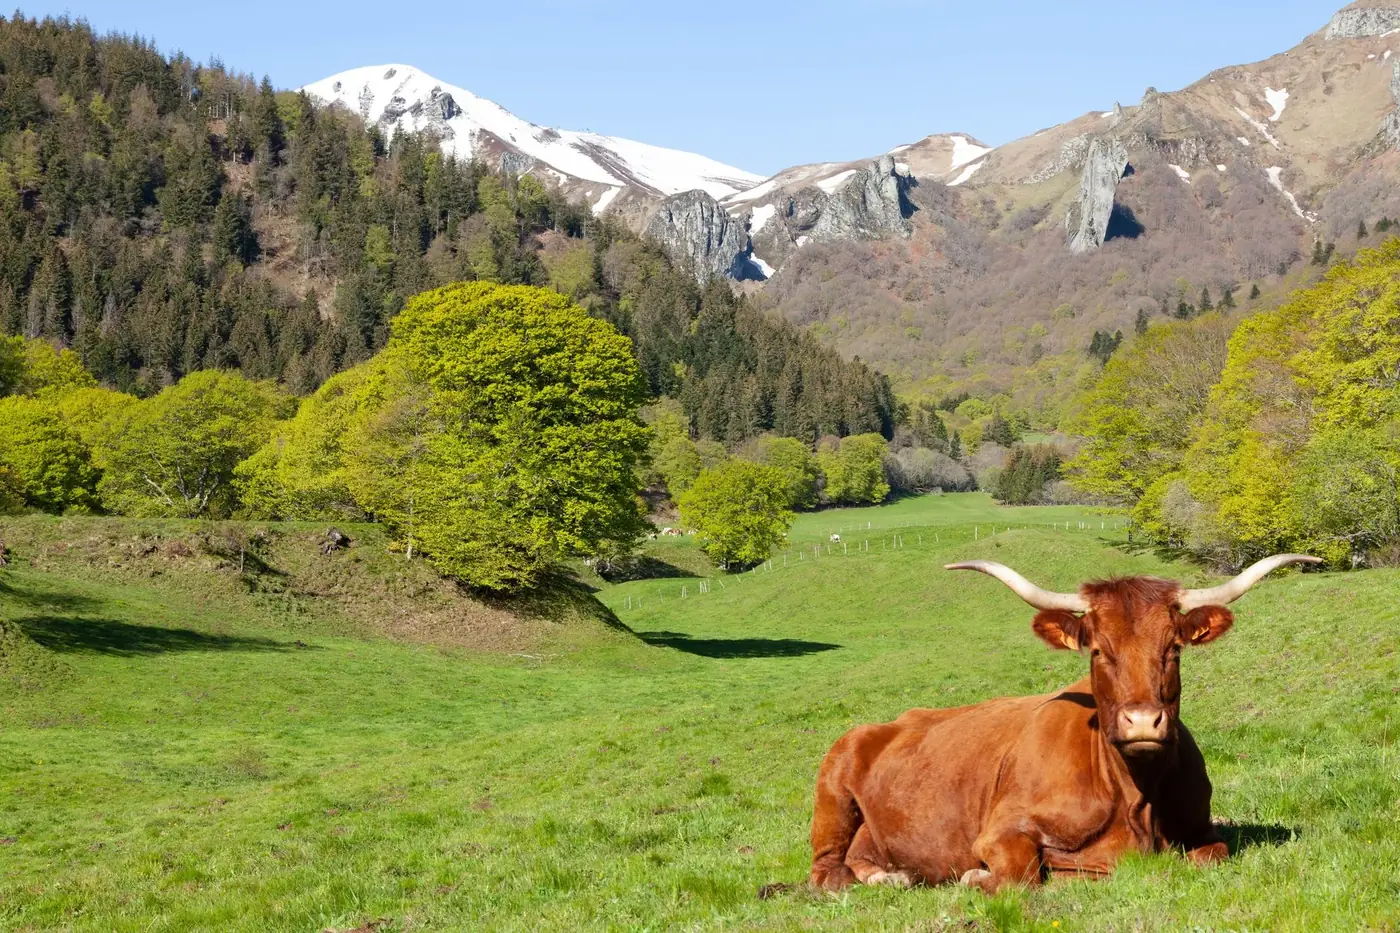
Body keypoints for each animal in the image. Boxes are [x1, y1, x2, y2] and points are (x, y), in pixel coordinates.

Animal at [808, 553, 1319, 893]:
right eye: (1098, 650)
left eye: (1173, 648)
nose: (1142, 721)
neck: (1137, 798)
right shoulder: (1001, 829)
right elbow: (1021, 874)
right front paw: (975, 874)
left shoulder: (1202, 830)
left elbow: (1211, 856)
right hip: (832, 788)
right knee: (827, 870)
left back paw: (896, 873)